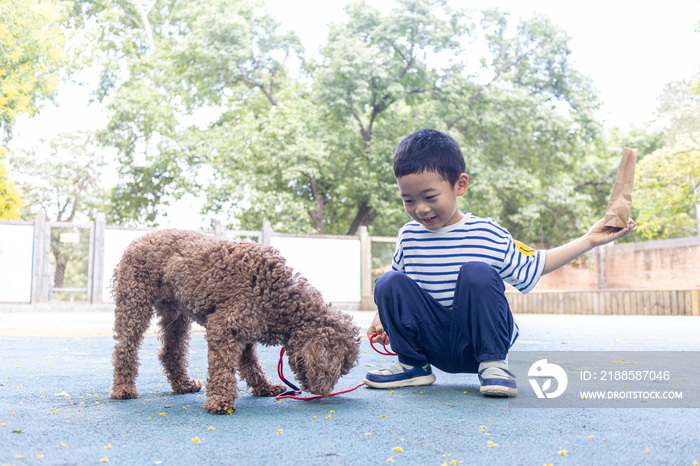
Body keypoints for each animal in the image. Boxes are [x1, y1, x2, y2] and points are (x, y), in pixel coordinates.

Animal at [110, 228, 360, 414]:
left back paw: (183, 384)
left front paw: (264, 387)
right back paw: (123, 388)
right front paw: (220, 401)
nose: (323, 391)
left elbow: (251, 364)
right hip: (135, 303)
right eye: (340, 368)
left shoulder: (246, 332)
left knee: (171, 351)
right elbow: (223, 367)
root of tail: (138, 239)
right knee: (125, 347)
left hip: (176, 314)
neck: (282, 298)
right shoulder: (224, 326)